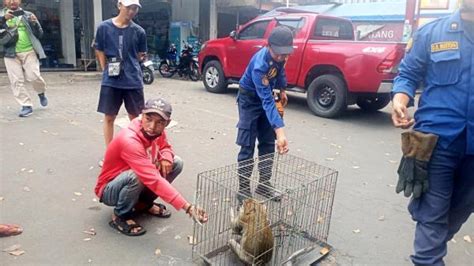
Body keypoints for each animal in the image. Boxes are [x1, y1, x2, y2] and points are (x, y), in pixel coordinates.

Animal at [192, 153, 336, 264]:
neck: (256, 211)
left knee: (232, 242)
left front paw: (232, 211)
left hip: (245, 257)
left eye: (245, 204)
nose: (243, 202)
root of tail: (260, 261)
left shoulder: (243, 217)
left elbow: (235, 225)